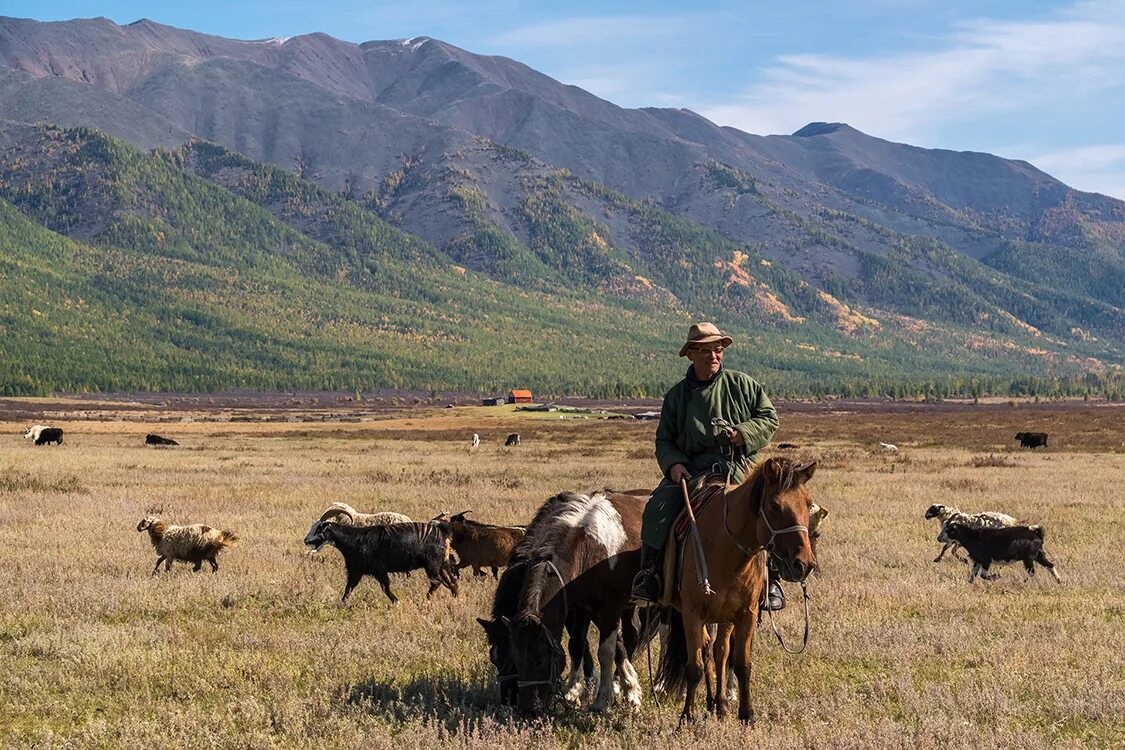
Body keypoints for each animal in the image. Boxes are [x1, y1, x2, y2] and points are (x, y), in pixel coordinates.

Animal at [303, 519, 456, 607]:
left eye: (319, 529)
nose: (306, 540)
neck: (354, 540)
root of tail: (443, 533)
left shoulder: (379, 570)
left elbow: (385, 588)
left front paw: (396, 602)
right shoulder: (355, 571)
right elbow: (348, 588)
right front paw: (341, 605)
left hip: (432, 565)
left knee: (437, 582)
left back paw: (427, 599)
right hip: (442, 565)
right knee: (451, 581)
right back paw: (455, 598)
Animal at [657, 454, 819, 724]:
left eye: (807, 504)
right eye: (775, 506)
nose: (804, 564)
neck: (725, 548)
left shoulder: (746, 614)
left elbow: (742, 664)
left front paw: (747, 715)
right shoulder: (692, 613)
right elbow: (694, 667)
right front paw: (686, 718)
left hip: (725, 616)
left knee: (719, 651)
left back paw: (719, 703)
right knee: (706, 650)